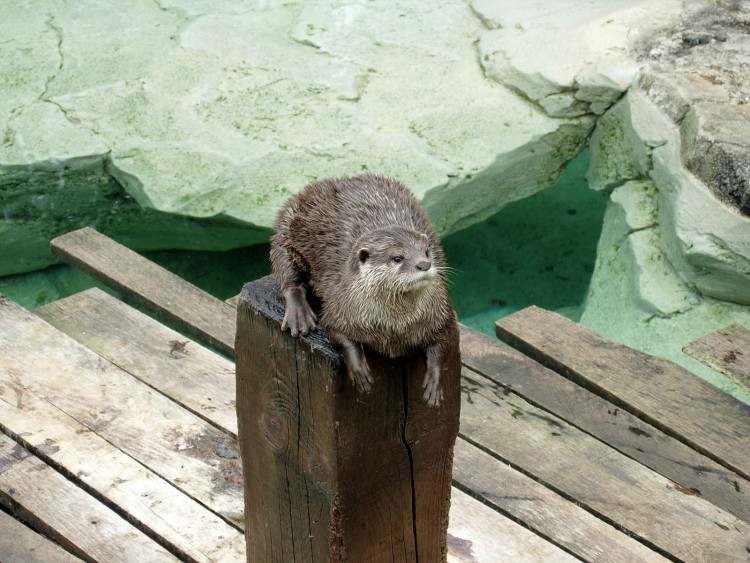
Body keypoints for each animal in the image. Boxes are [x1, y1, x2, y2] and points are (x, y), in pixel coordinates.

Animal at [272, 174, 458, 408]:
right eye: (397, 258)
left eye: (426, 251)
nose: (424, 264)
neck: (395, 326)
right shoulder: (340, 308)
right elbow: (337, 333)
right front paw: (359, 368)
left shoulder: (441, 313)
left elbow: (445, 341)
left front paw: (434, 382)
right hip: (287, 226)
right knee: (287, 274)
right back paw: (299, 315)